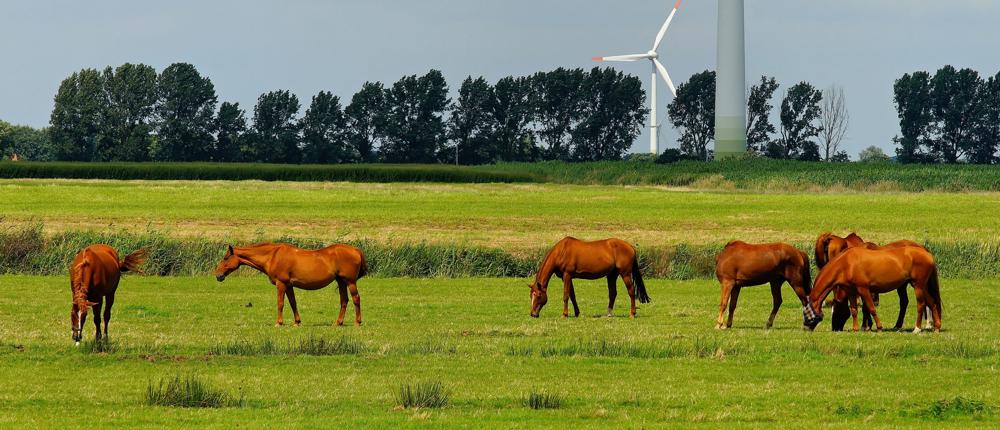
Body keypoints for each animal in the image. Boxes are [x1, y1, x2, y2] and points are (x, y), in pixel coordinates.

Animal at [214, 243, 368, 326]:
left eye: (225, 258)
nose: (218, 275)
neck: (273, 256)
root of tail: (355, 250)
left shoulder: (281, 284)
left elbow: (280, 303)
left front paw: (279, 322)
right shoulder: (289, 285)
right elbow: (293, 303)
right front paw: (297, 322)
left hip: (350, 282)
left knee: (356, 299)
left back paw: (357, 322)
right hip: (341, 281)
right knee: (344, 300)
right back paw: (338, 322)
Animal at [803, 245, 942, 333]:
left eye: (807, 313)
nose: (805, 328)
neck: (846, 263)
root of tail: (927, 254)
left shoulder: (863, 289)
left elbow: (871, 308)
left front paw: (879, 328)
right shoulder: (851, 291)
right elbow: (854, 310)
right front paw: (855, 329)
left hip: (918, 286)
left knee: (921, 304)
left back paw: (917, 329)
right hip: (922, 287)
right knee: (932, 303)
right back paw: (936, 327)